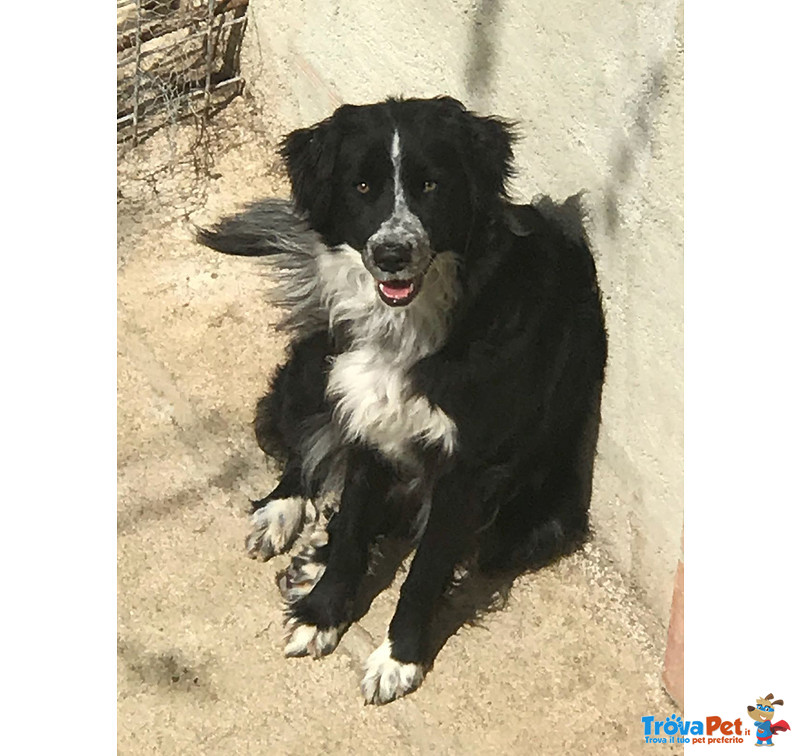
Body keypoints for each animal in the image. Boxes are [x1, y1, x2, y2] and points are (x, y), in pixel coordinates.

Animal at [198, 94, 608, 704]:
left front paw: (399, 657)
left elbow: (422, 570)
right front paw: (323, 614)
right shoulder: (366, 418)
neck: (411, 326)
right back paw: (283, 513)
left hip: (543, 519)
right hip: (319, 366)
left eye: (431, 185)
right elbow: (351, 532)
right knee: (304, 449)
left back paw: (311, 556)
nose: (392, 254)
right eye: (362, 186)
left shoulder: (465, 471)